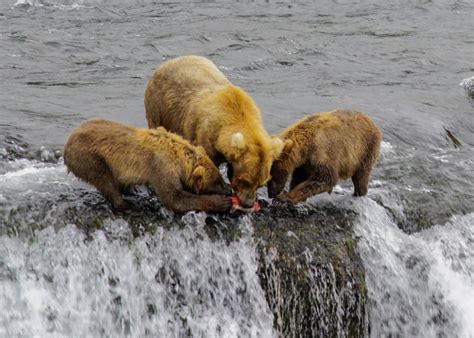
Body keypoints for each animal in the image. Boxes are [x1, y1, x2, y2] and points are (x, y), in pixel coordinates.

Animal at [64, 119, 231, 213]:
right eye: (217, 181)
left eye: (220, 177)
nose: (228, 189)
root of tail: (68, 141)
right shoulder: (161, 166)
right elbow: (174, 197)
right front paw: (220, 202)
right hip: (90, 157)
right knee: (105, 180)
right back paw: (127, 205)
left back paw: (132, 190)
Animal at [144, 54, 284, 209]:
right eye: (245, 180)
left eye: (260, 183)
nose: (248, 204)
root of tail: (167, 63)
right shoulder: (205, 137)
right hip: (159, 107)